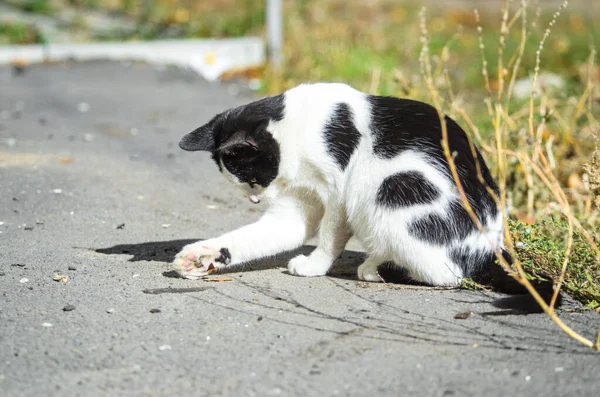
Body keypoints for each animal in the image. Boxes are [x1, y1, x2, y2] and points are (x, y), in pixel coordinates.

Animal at [172, 83, 506, 286]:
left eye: (255, 180)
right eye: (244, 186)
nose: (255, 201)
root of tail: (489, 249)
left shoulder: (339, 191)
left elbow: (331, 234)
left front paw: (316, 265)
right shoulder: (297, 202)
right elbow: (264, 235)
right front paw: (202, 256)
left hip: (396, 185)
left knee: (445, 274)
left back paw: (379, 267)